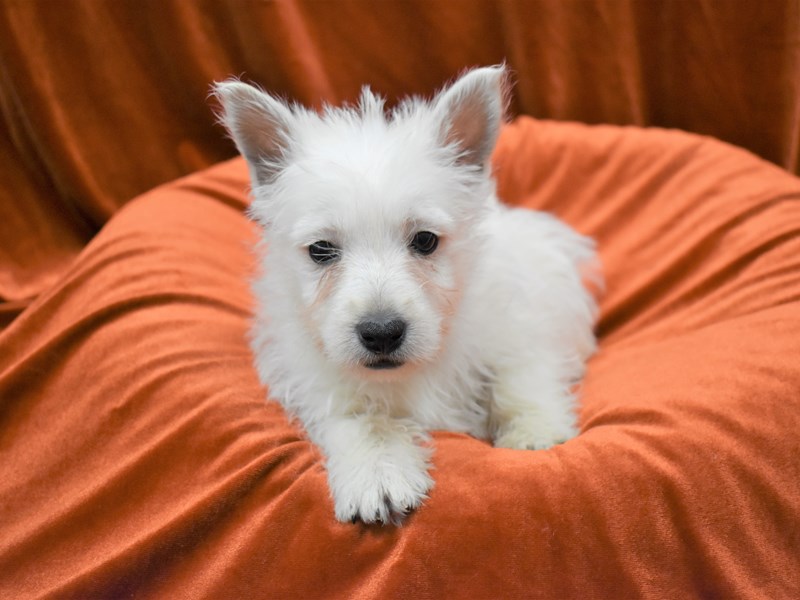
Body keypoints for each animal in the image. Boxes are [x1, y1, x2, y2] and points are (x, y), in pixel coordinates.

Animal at [214, 67, 600, 524]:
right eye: (321, 250)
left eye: (425, 240)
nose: (381, 332)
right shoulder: (323, 385)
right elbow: (363, 423)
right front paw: (377, 476)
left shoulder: (519, 328)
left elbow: (519, 377)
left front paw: (533, 431)